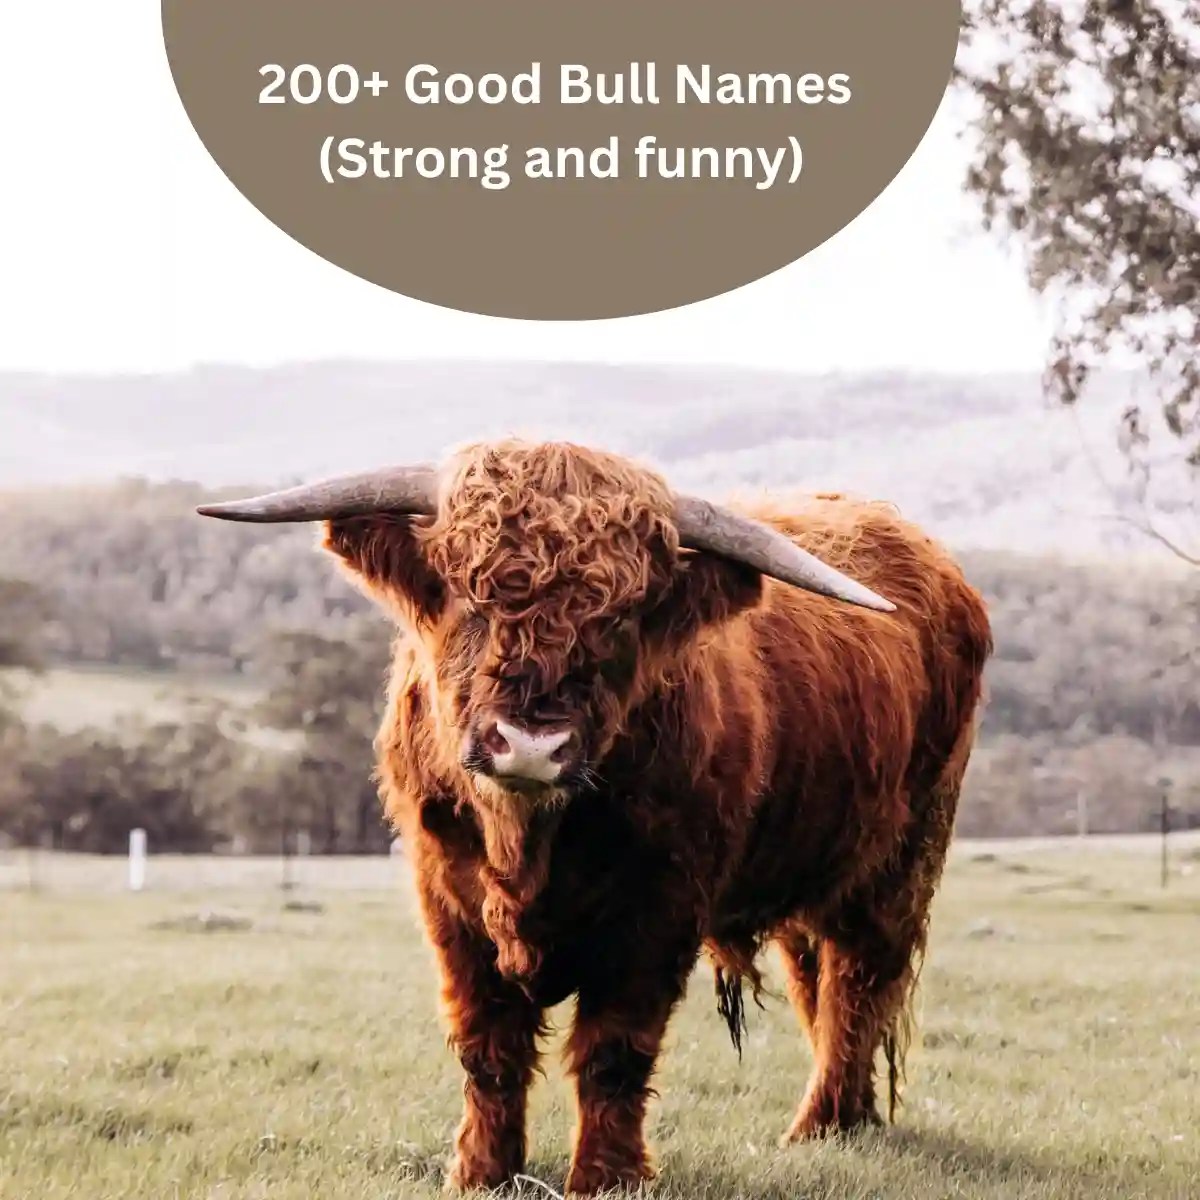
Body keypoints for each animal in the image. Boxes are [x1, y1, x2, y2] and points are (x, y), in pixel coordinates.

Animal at [199, 440, 992, 1195]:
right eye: (470, 596)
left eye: (619, 620)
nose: (530, 742)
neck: (526, 843)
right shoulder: (447, 903)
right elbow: (487, 1046)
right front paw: (481, 1171)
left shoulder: (658, 914)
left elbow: (614, 1052)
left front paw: (606, 1178)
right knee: (818, 983)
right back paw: (845, 1121)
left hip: (900, 861)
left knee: (859, 984)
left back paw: (819, 1126)